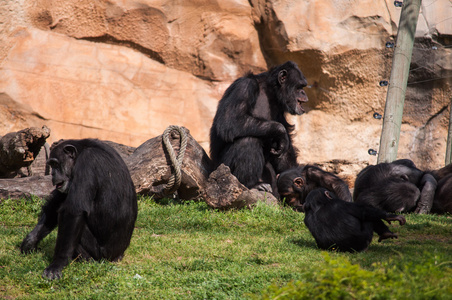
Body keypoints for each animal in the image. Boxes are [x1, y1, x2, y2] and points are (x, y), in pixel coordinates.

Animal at [20, 139, 138, 280]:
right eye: (51, 165)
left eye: (55, 164)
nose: (52, 173)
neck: (82, 150)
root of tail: (118, 256)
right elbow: (57, 201)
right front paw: (31, 240)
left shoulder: (87, 163)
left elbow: (74, 211)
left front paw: (57, 264)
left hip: (101, 255)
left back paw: (86, 261)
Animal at [210, 60, 308, 195]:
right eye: (299, 87)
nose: (304, 92)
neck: (270, 91)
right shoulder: (244, 87)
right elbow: (229, 120)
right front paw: (280, 131)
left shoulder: (280, 109)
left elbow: (285, 150)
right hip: (223, 168)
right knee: (247, 140)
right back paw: (252, 184)